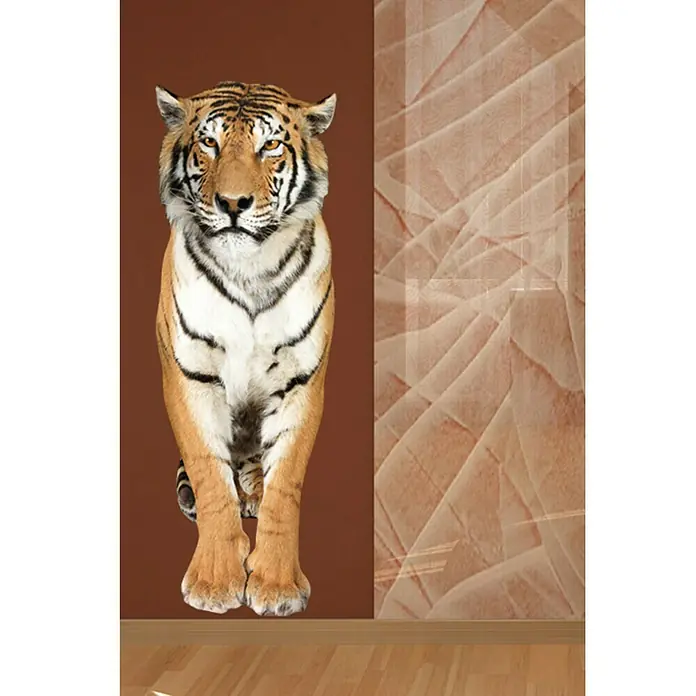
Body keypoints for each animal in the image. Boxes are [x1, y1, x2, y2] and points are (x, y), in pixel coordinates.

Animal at [154, 81, 336, 617]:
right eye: (210, 144)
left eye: (269, 146)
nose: (232, 203)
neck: (249, 270)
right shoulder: (190, 375)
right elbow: (210, 477)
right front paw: (214, 583)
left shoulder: (300, 381)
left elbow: (286, 488)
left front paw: (277, 587)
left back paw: (252, 491)